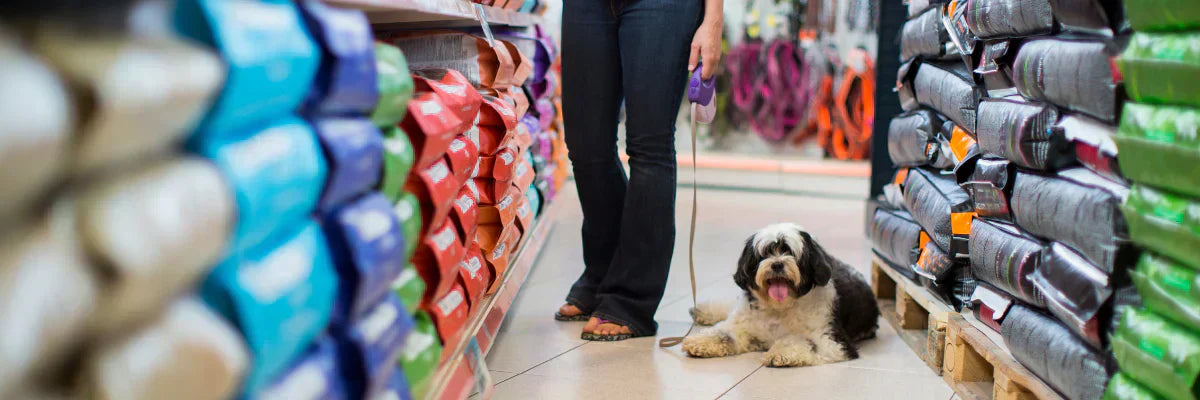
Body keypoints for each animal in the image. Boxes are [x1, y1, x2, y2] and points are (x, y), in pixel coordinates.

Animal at [686, 222, 883, 365]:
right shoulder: (743, 324)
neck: (780, 308)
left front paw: (780, 352)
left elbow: (802, 341)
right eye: (765, 254)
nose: (777, 264)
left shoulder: (833, 341)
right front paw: (700, 342)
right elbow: (723, 333)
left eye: (791, 253)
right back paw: (704, 311)